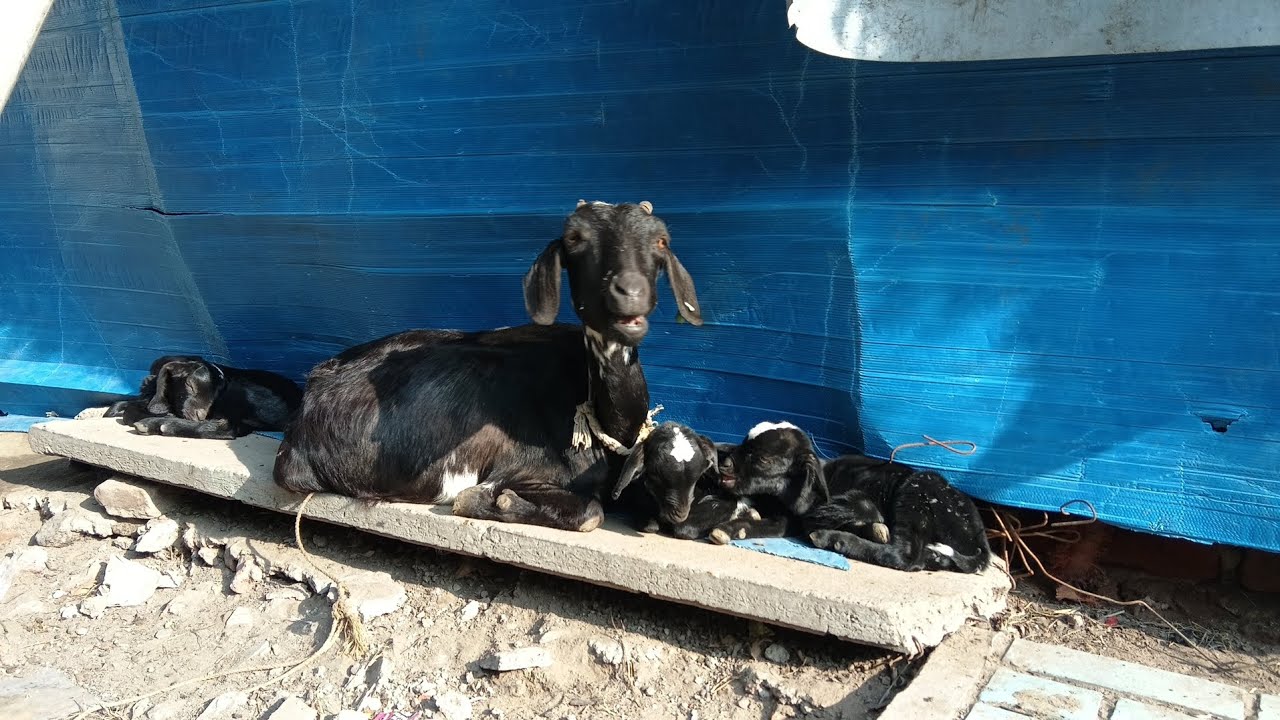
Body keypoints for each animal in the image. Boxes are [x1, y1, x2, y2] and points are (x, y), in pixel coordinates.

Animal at [104, 355, 302, 440]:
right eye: (189, 384)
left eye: (217, 393)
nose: (200, 415)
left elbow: (132, 411)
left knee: (228, 428)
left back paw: (155, 424)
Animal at [272, 200, 703, 533]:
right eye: (574, 239)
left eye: (660, 240)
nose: (629, 293)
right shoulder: (518, 469)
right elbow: (590, 514)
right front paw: (490, 502)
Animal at [721, 422, 991, 573]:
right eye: (743, 444)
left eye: (763, 459)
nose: (724, 464)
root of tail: (980, 535)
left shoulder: (804, 516)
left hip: (916, 491)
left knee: (904, 556)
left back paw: (836, 539)